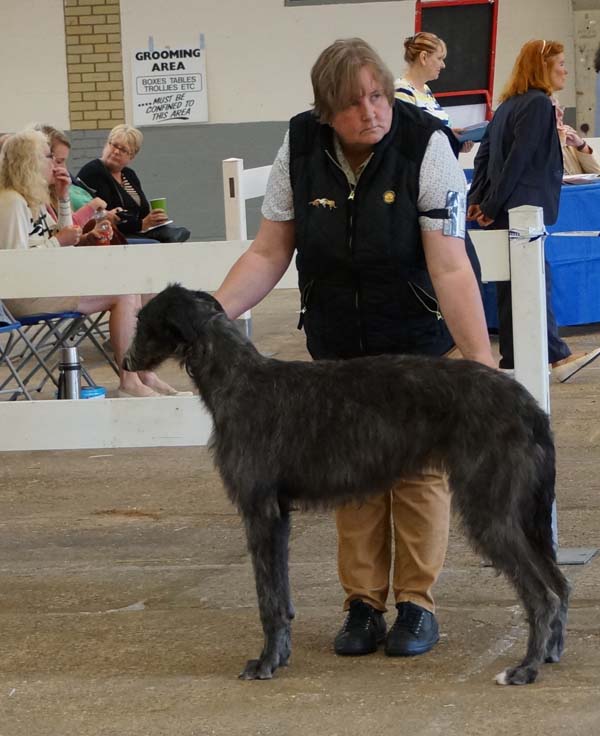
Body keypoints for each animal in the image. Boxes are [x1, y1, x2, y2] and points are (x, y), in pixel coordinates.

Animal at [124, 286, 568, 684]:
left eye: (143, 321)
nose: (126, 361)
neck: (236, 377)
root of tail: (528, 405)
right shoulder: (278, 514)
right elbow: (281, 596)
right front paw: (280, 655)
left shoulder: (258, 511)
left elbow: (268, 599)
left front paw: (265, 663)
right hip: (523, 511)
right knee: (560, 584)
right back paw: (550, 652)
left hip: (490, 507)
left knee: (542, 594)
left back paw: (525, 668)